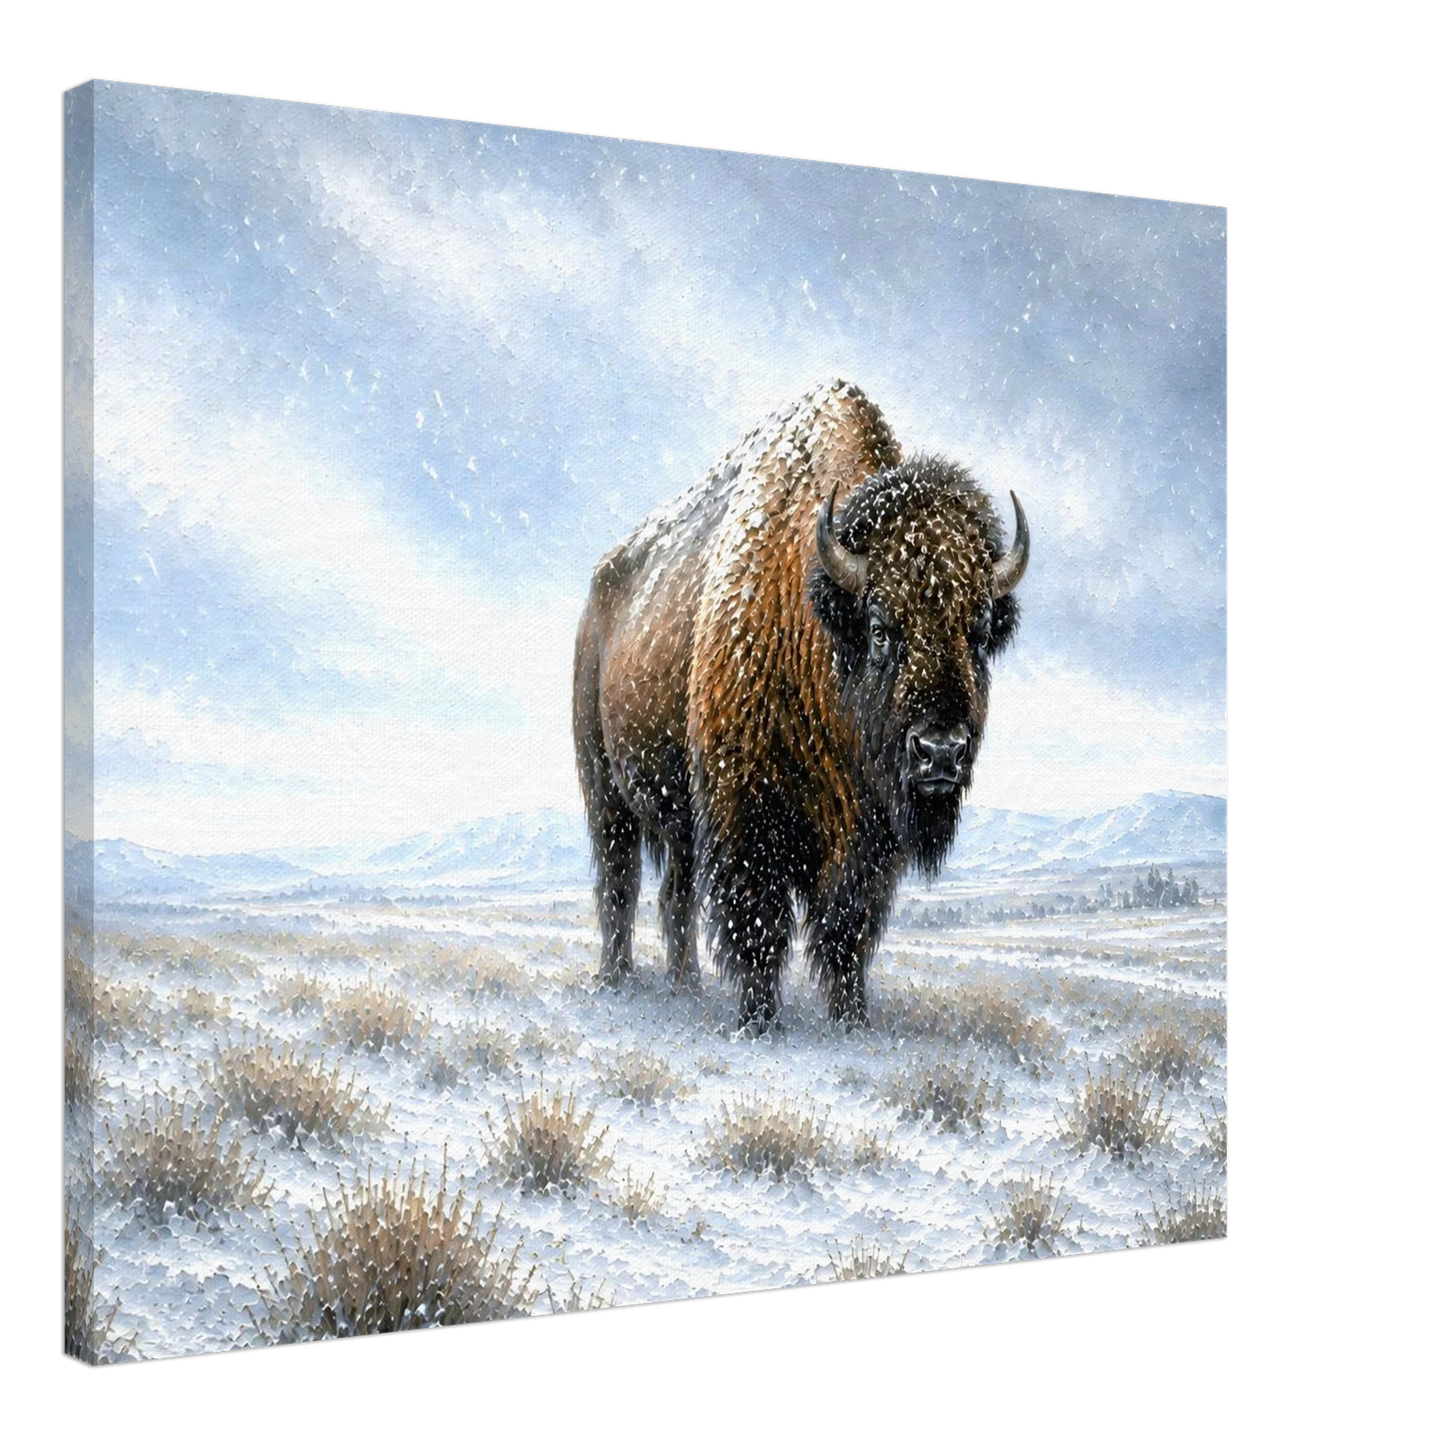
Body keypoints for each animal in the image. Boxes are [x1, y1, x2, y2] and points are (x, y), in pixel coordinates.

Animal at [573, 379, 1028, 1031]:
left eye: (980, 630)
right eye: (881, 628)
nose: (940, 751)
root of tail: (596, 597)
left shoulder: (870, 841)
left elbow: (848, 930)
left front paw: (852, 1019)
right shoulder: (744, 812)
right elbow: (757, 923)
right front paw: (758, 1023)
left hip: (679, 814)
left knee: (674, 895)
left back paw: (685, 986)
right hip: (604, 789)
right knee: (619, 883)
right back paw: (616, 981)